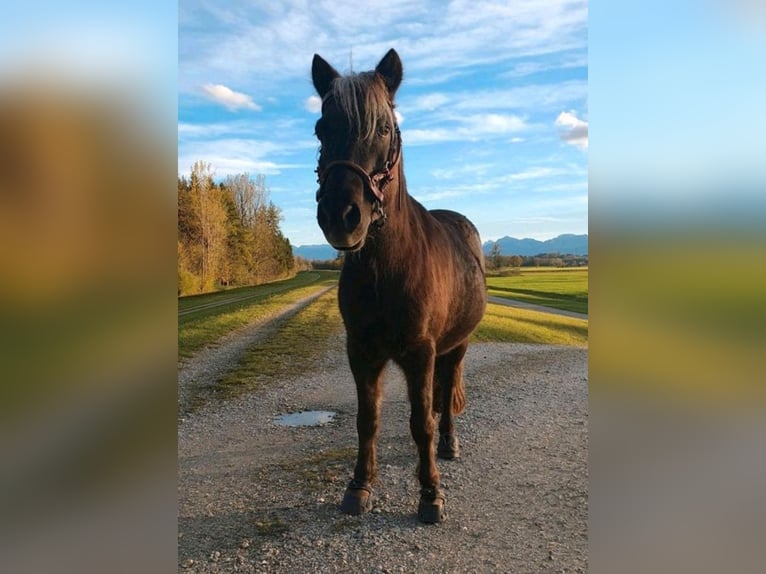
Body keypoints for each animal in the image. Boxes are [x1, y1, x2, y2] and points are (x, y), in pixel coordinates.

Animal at [311, 49, 487, 523]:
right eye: (321, 129)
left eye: (385, 128)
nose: (341, 215)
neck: (385, 270)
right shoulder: (361, 350)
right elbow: (366, 419)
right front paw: (359, 486)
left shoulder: (420, 352)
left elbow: (421, 422)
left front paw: (430, 494)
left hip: (455, 346)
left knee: (445, 392)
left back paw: (448, 444)